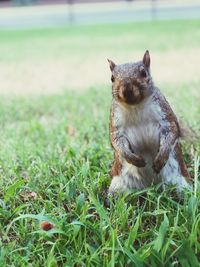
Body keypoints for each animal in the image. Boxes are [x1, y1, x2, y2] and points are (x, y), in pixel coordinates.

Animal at [108, 50, 191, 195]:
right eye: (112, 78)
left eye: (144, 73)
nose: (127, 89)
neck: (135, 107)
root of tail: (150, 185)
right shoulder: (116, 124)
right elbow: (117, 142)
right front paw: (134, 159)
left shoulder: (165, 116)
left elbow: (172, 132)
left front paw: (160, 159)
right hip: (118, 187)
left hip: (180, 183)